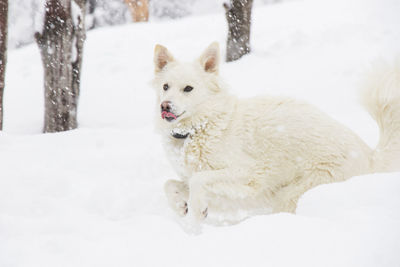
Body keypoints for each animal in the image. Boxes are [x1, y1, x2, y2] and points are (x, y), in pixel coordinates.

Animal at [152, 42, 400, 222]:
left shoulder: (249, 173)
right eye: (165, 87)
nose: (165, 106)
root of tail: (369, 155)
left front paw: (195, 215)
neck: (201, 126)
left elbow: (198, 181)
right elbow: (170, 184)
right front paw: (181, 205)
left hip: (295, 192)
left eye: (188, 88)